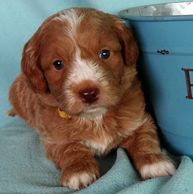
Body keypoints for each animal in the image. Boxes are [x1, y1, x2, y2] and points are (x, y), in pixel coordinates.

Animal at [8, 8, 175, 190]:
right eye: (58, 64)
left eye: (105, 53)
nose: (88, 93)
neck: (95, 117)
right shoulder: (53, 138)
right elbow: (69, 149)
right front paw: (78, 171)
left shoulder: (139, 119)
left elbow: (144, 139)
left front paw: (154, 163)